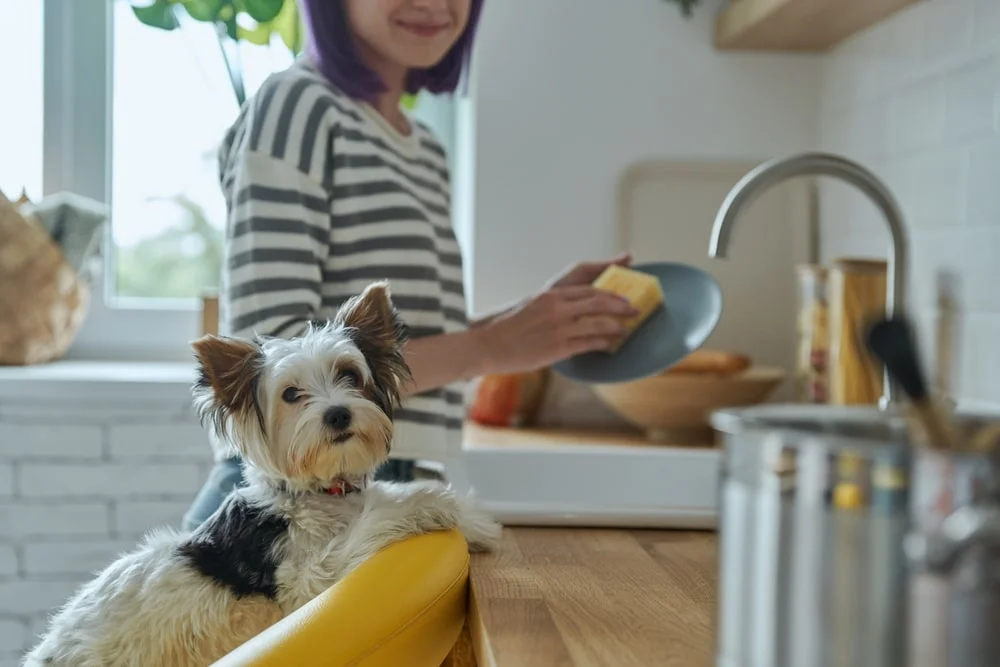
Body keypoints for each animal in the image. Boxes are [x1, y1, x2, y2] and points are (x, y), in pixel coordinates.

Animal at [25, 282, 500, 667]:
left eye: (349, 375)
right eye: (291, 394)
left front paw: (475, 521)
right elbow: (371, 525)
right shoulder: (307, 581)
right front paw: (429, 504)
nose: (338, 414)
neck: (318, 493)